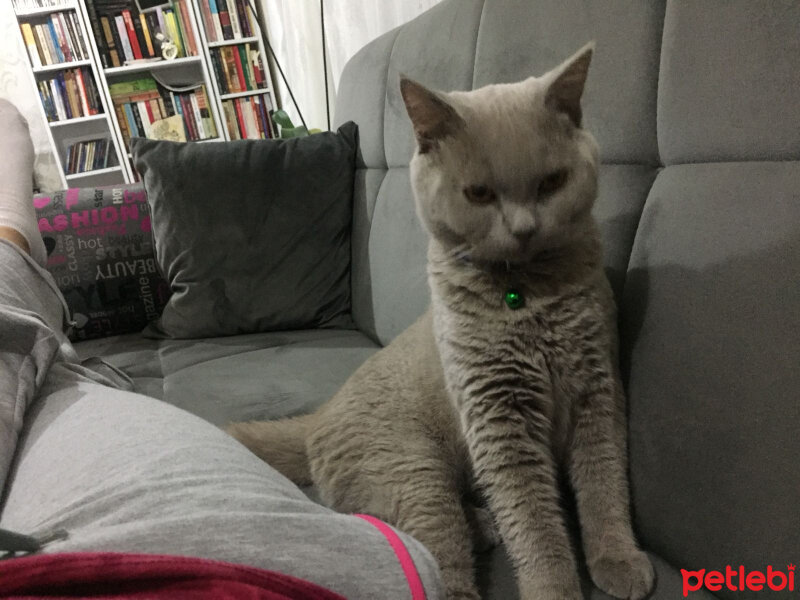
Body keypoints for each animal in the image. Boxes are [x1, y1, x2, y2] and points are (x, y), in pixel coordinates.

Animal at [228, 43, 652, 600]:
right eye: (479, 194)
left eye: (552, 182)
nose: (524, 228)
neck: (526, 297)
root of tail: (318, 416)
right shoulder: (497, 417)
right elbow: (534, 520)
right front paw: (554, 588)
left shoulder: (598, 389)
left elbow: (604, 483)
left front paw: (618, 560)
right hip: (414, 470)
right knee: (430, 550)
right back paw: (478, 533)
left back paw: (484, 523)